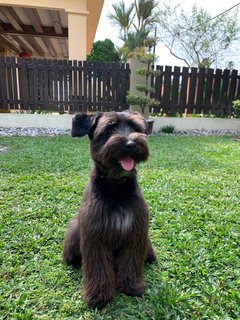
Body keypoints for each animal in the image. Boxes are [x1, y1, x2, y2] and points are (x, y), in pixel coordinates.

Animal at [62, 110, 156, 310]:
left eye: (135, 127)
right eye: (108, 129)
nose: (131, 144)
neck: (116, 188)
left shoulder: (136, 232)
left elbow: (130, 261)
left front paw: (131, 285)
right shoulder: (95, 235)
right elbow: (98, 267)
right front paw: (98, 295)